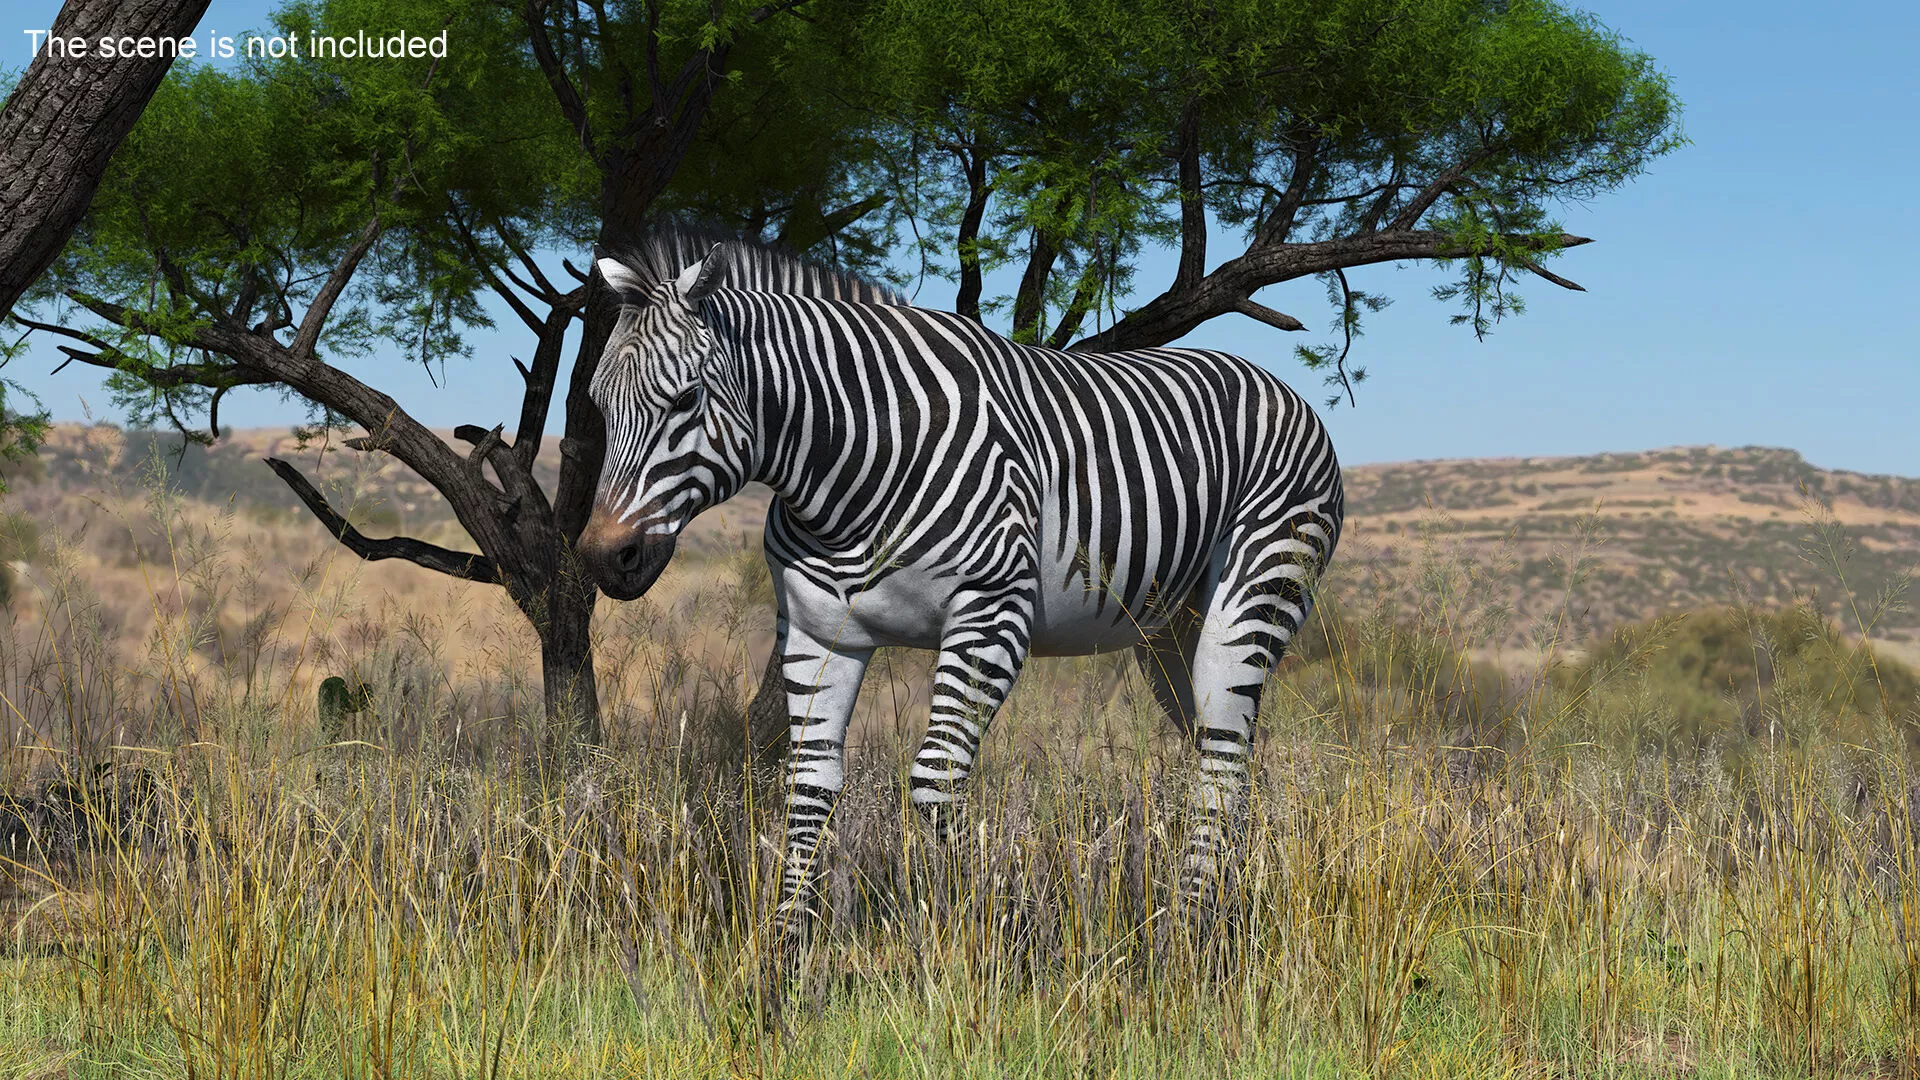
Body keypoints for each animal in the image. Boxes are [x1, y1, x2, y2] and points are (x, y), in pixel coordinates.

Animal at [576, 225, 1343, 950]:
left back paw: (1190, 934)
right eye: (597, 405)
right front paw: (786, 957)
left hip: (1252, 595)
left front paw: (967, 945)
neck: (850, 470)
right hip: (1172, 635)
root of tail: (1274, 382)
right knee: (1224, 755)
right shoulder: (818, 634)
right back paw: (1219, 917)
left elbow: (935, 782)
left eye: (686, 399)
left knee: (1223, 765)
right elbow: (808, 787)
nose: (605, 559)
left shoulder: (990, 617)